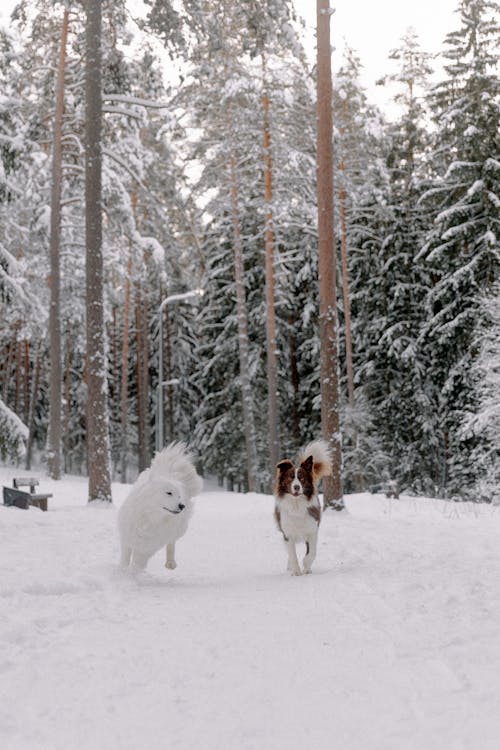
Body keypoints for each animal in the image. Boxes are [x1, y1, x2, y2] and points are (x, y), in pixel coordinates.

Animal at [118, 444, 202, 572]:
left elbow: (137, 563)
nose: (182, 505)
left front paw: (132, 573)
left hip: (178, 530)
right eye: (169, 493)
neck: (149, 518)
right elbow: (125, 559)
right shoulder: (127, 538)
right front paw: (123, 571)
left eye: (179, 496)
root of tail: (171, 472)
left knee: (171, 544)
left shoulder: (147, 547)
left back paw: (171, 563)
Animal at [274, 440, 332, 576]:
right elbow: (292, 554)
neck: (297, 504)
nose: (296, 487)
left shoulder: (312, 530)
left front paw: (306, 566)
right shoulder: (288, 533)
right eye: (290, 477)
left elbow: (311, 553)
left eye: (301, 478)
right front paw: (296, 571)